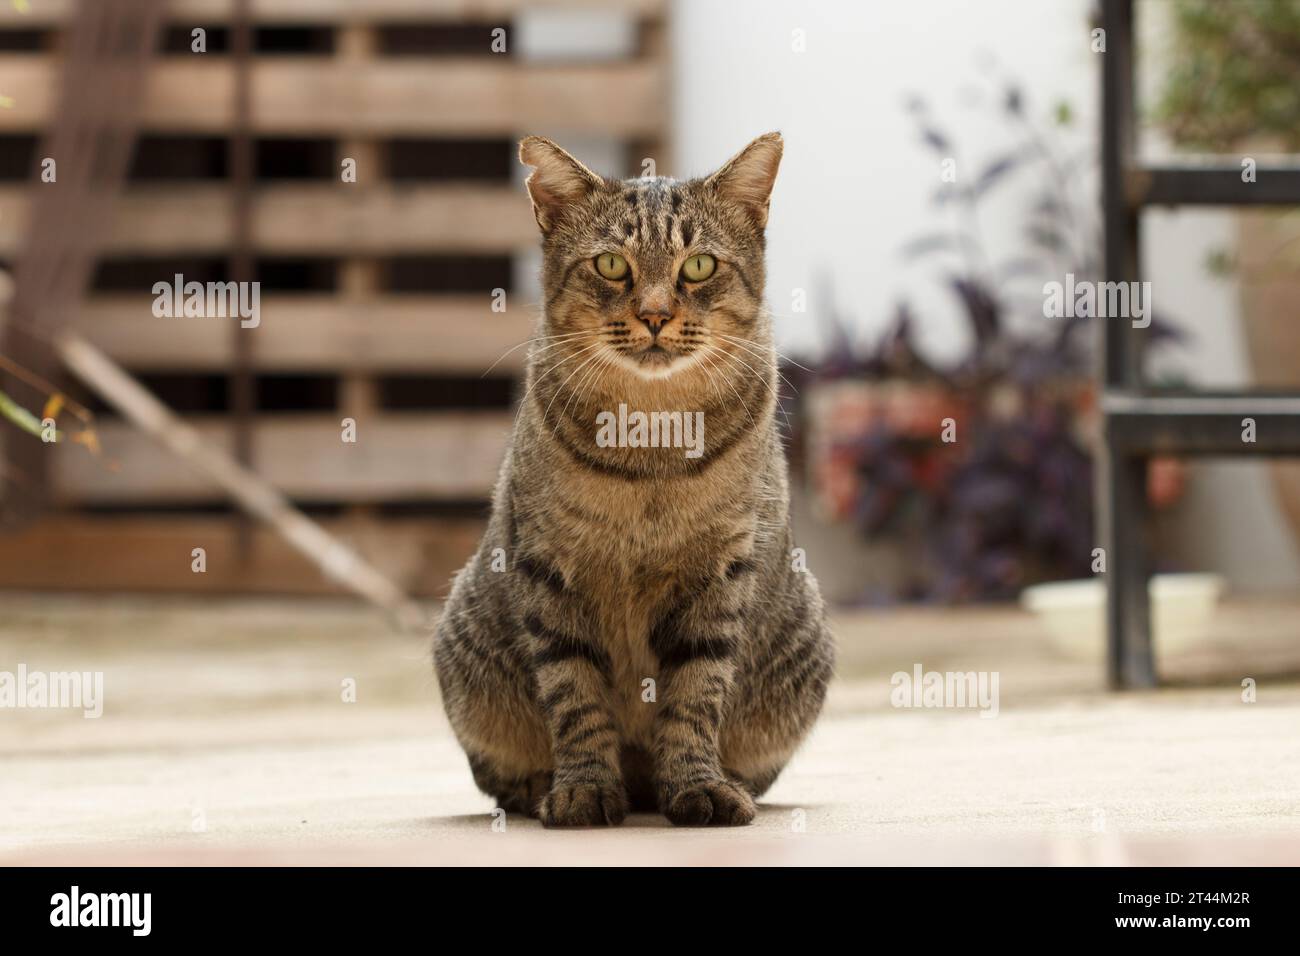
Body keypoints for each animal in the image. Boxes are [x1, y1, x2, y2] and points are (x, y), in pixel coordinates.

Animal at [436, 134, 832, 832]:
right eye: (611, 265)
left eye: (698, 266)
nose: (653, 314)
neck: (651, 438)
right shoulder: (547, 564)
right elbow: (574, 692)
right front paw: (583, 790)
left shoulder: (722, 570)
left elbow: (696, 692)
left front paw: (698, 786)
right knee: (498, 774)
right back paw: (539, 786)